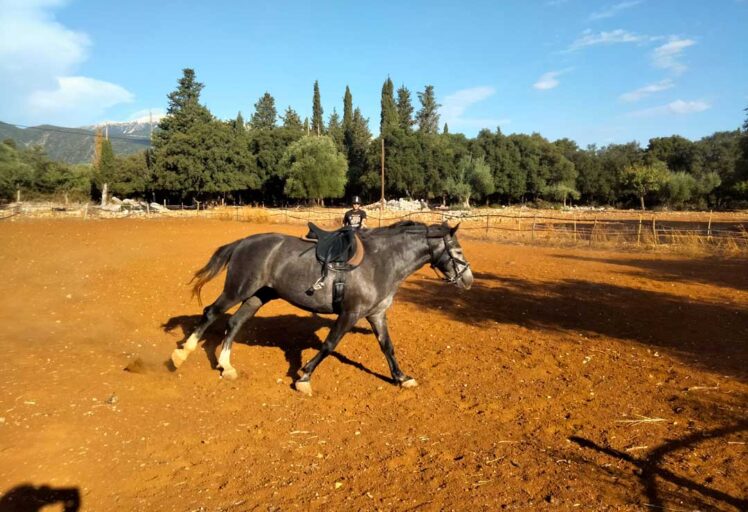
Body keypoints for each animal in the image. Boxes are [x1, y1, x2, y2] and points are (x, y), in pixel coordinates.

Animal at [170, 220, 473, 396]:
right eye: (457, 251)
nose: (469, 280)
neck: (380, 261)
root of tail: (243, 242)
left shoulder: (376, 314)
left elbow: (388, 347)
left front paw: (402, 378)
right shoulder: (350, 314)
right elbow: (329, 345)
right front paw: (304, 377)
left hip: (258, 296)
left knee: (234, 323)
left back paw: (226, 366)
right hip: (238, 290)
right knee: (211, 313)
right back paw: (181, 355)